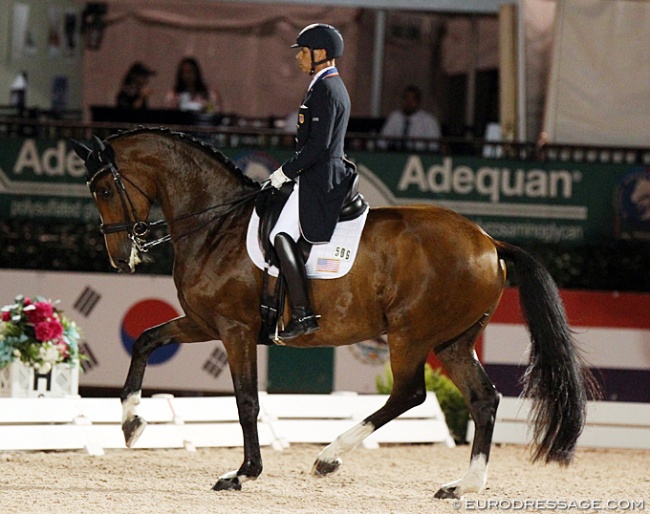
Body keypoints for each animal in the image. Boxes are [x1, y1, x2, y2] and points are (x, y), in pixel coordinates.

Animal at [73, 129, 596, 500]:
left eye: (104, 190)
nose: (120, 258)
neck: (216, 223)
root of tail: (489, 242)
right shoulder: (205, 323)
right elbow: (146, 339)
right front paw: (131, 424)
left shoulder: (234, 329)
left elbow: (246, 401)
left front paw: (243, 473)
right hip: (454, 341)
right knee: (483, 400)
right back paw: (461, 486)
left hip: (411, 334)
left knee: (409, 393)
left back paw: (328, 458)